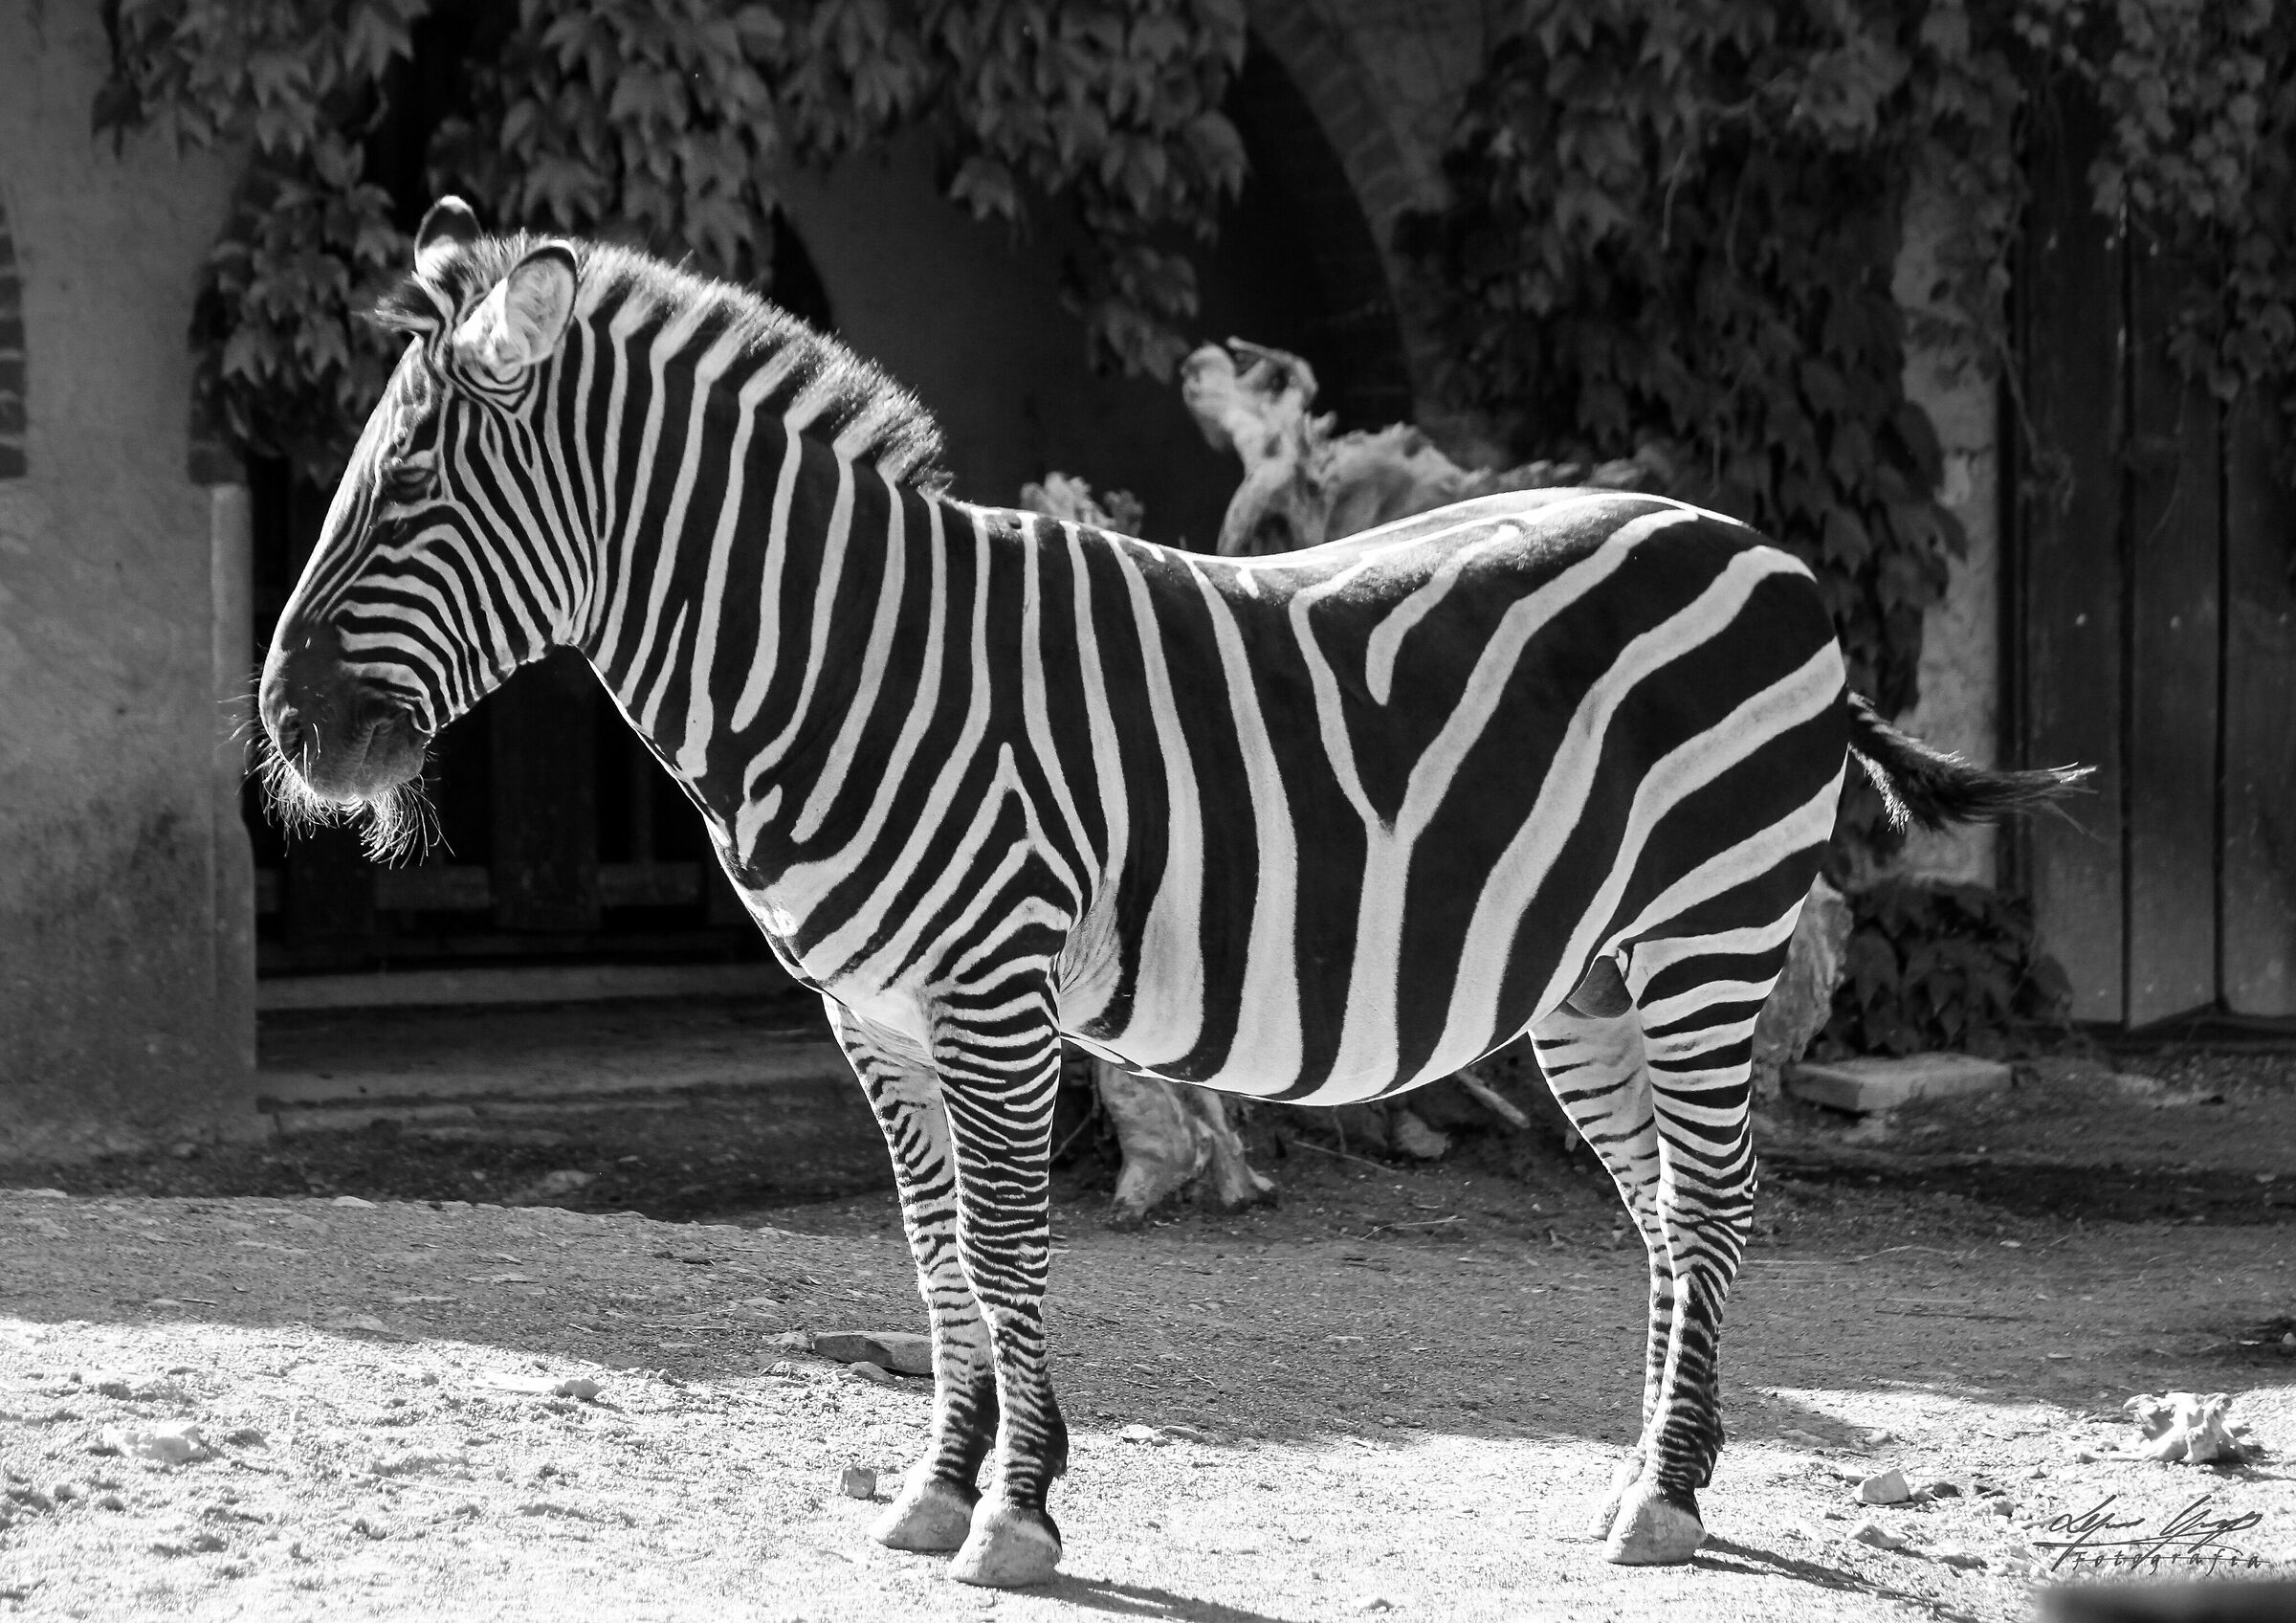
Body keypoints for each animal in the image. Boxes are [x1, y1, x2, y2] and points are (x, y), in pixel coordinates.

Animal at [258, 200, 2086, 1586]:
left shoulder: (991, 987)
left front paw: (1015, 1513)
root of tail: (1763, 550)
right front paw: (936, 1485)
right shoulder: (871, 1011)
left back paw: (1667, 1497)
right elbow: (930, 1249)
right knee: (1661, 1209)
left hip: (1712, 930)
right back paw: (1653, 1475)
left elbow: (1003, 1248)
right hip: (1587, 977)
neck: (841, 661)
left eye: (407, 485)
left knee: (1711, 1201)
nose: (284, 732)